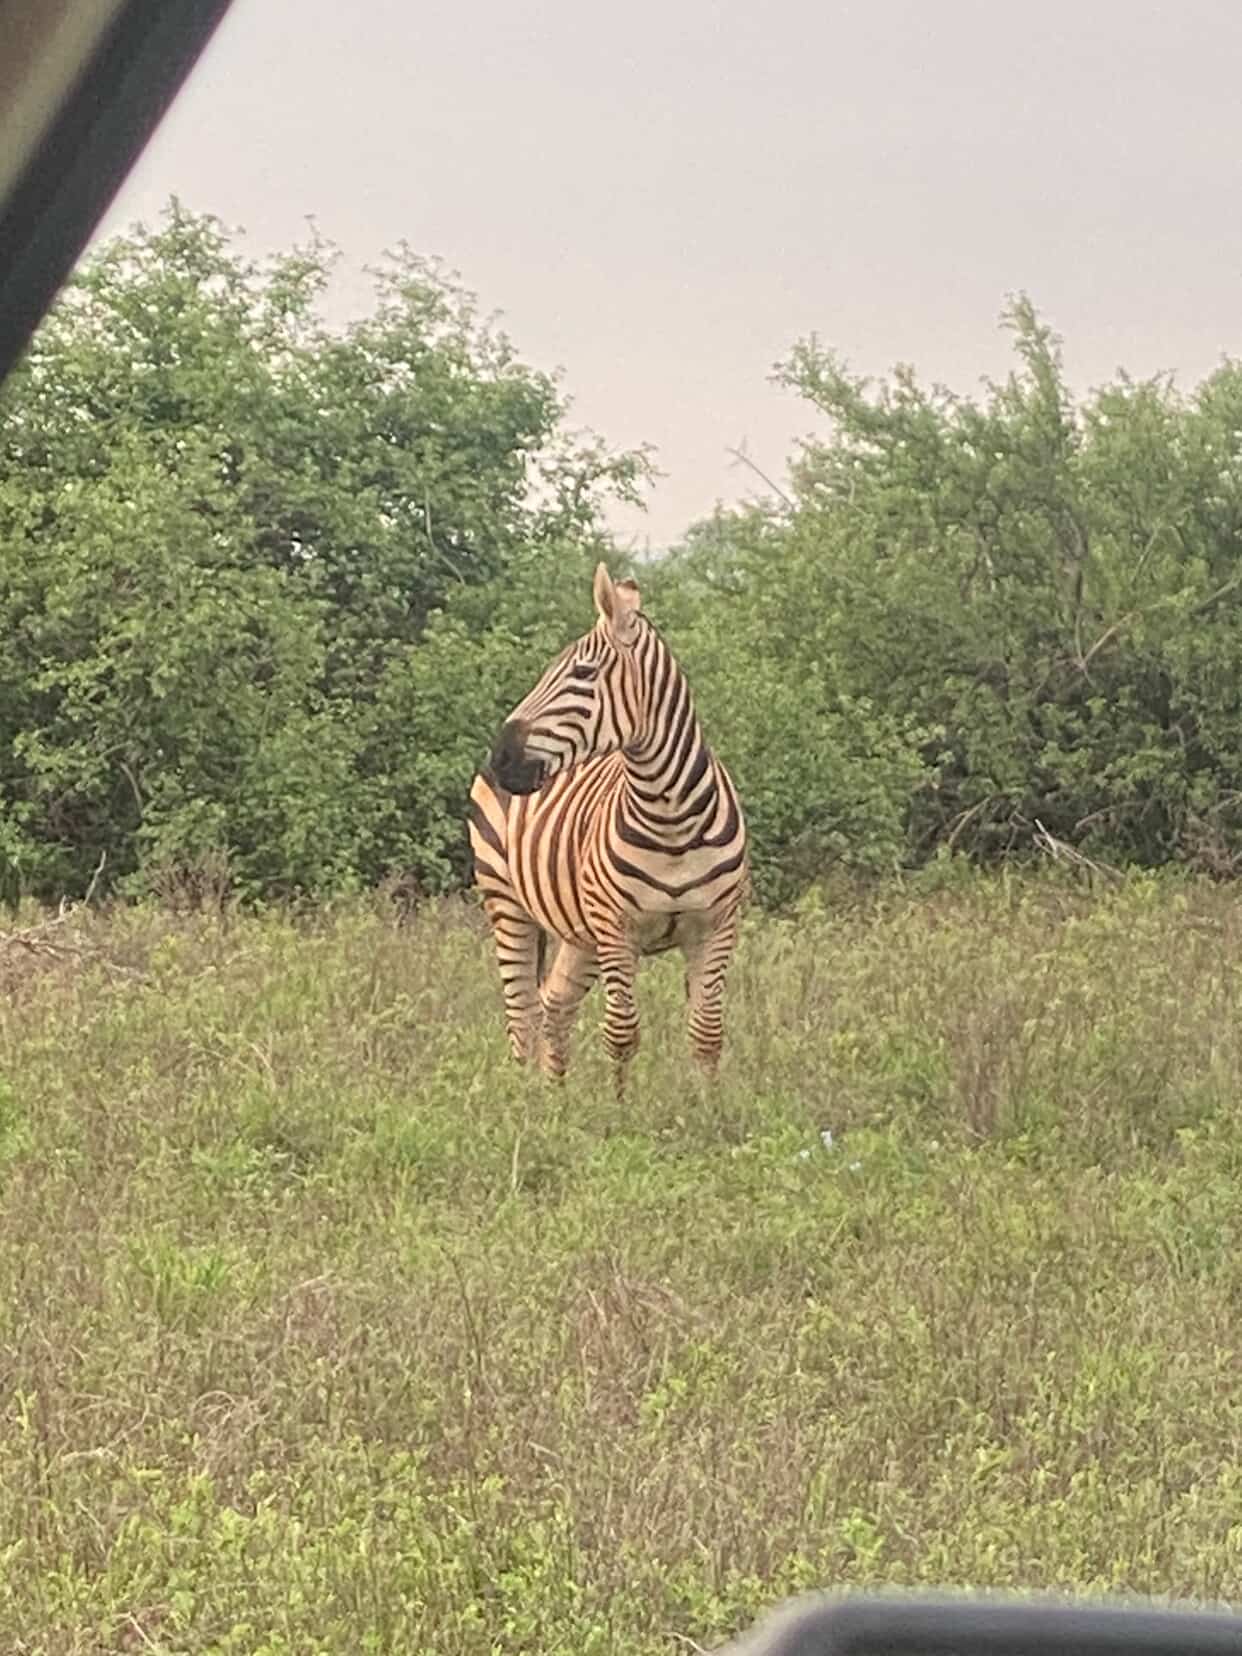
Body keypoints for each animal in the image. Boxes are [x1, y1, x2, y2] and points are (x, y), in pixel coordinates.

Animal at [468, 561, 749, 1095]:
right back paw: (523, 1104)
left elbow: (707, 1032)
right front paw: (620, 1109)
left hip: (579, 931)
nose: (502, 757)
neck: (671, 815)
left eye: (582, 672)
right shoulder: (617, 928)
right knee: (522, 1018)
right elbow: (621, 1031)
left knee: (554, 1005)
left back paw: (555, 1098)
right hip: (505, 901)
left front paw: (709, 1106)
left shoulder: (717, 926)